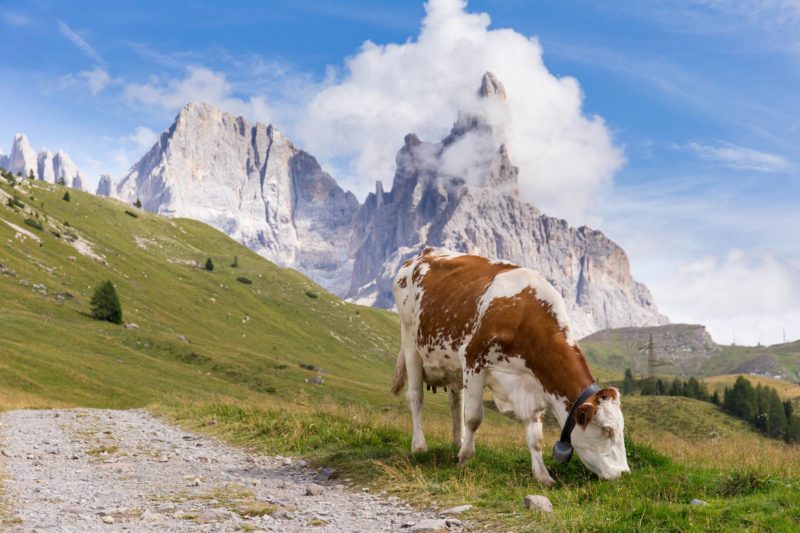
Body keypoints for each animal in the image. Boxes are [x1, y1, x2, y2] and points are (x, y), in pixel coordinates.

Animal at [390, 247, 628, 484]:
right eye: (607, 430)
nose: (624, 473)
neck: (524, 315)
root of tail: (425, 253)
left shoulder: (534, 384)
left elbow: (535, 436)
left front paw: (542, 475)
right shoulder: (473, 360)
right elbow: (474, 417)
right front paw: (465, 458)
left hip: (451, 365)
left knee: (455, 402)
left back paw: (456, 442)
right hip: (410, 340)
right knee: (416, 397)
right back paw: (419, 446)